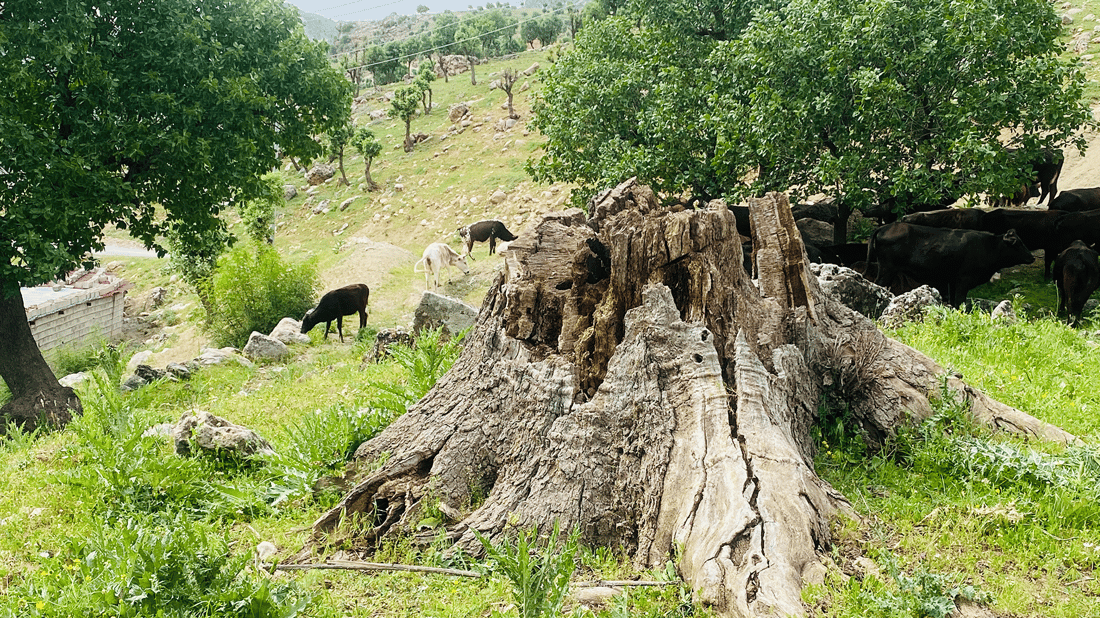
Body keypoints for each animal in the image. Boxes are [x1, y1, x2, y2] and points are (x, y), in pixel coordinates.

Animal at [862, 222, 1034, 305]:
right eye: (1017, 244)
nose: (1032, 258)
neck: (988, 246)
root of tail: (885, 227)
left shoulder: (952, 281)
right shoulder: (964, 280)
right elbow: (959, 301)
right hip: (887, 269)